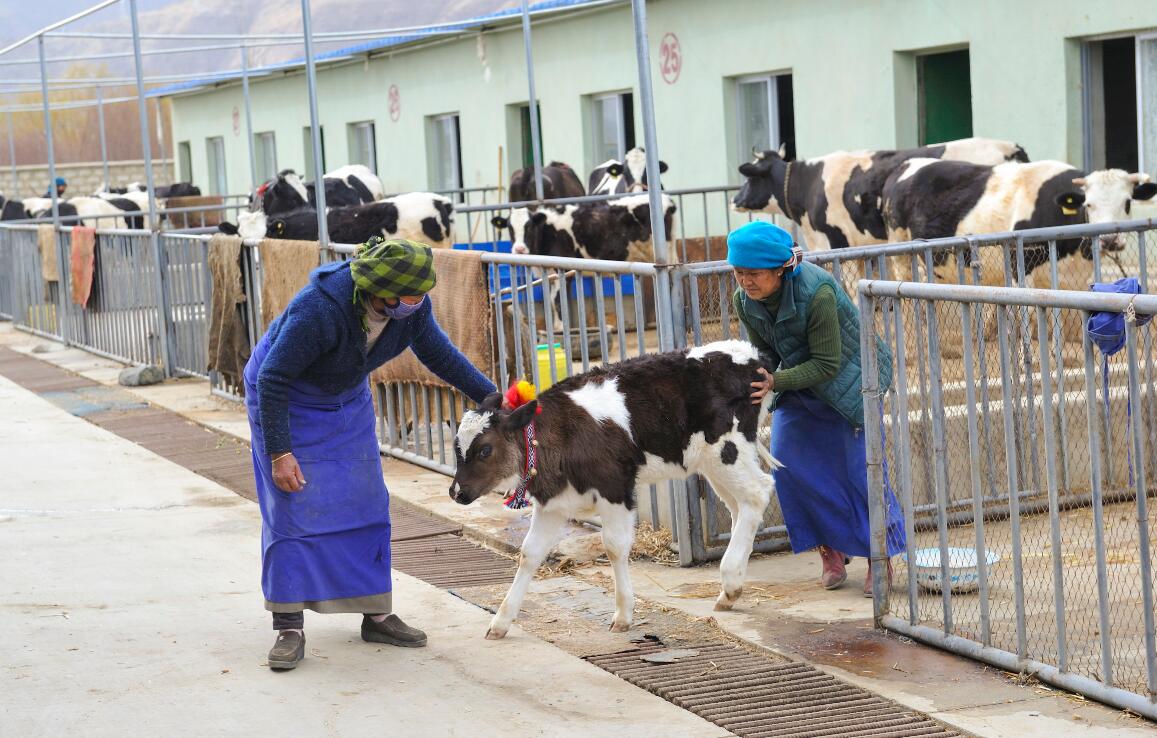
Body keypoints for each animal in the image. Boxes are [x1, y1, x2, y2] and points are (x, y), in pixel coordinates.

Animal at [446, 340, 782, 638]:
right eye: (456, 447)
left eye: (485, 450)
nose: (456, 492)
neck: (561, 433)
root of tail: (753, 355)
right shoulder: (554, 503)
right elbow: (530, 553)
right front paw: (501, 622)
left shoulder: (615, 488)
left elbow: (614, 547)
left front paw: (622, 614)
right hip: (711, 463)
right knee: (739, 506)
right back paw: (730, 587)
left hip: (727, 450)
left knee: (758, 492)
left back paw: (731, 579)